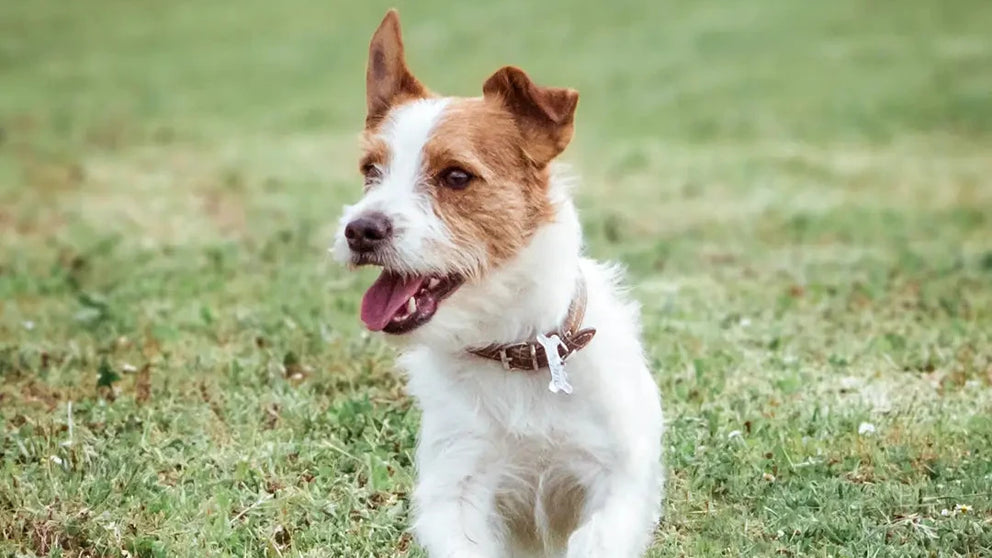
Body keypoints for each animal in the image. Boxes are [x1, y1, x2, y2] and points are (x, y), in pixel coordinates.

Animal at [334, 9, 668, 558]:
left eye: (456, 176)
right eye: (370, 171)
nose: (360, 230)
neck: (518, 347)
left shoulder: (616, 479)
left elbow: (597, 536)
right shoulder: (458, 489)